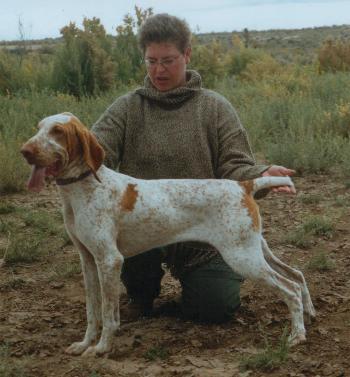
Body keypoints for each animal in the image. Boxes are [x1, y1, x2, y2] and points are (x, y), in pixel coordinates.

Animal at [20, 111, 316, 356]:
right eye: (39, 128)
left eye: (57, 131)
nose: (24, 151)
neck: (83, 189)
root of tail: (244, 185)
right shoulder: (89, 261)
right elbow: (92, 312)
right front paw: (84, 344)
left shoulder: (109, 260)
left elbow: (108, 314)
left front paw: (102, 348)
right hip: (256, 249)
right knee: (297, 275)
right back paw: (309, 314)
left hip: (243, 257)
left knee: (289, 288)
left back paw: (297, 336)